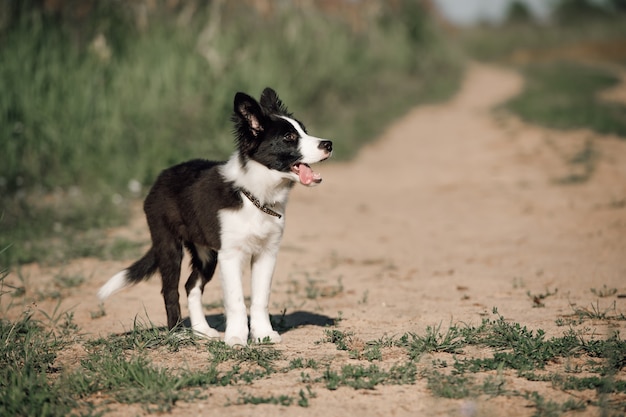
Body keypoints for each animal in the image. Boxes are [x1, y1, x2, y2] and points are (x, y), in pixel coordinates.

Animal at [97, 89, 332, 346]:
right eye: (289, 137)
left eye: (304, 130)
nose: (329, 144)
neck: (255, 195)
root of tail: (161, 177)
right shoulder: (230, 255)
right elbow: (236, 301)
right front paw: (237, 338)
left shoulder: (267, 252)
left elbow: (261, 298)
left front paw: (263, 335)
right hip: (168, 243)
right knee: (170, 290)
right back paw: (177, 331)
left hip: (206, 253)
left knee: (191, 285)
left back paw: (201, 329)